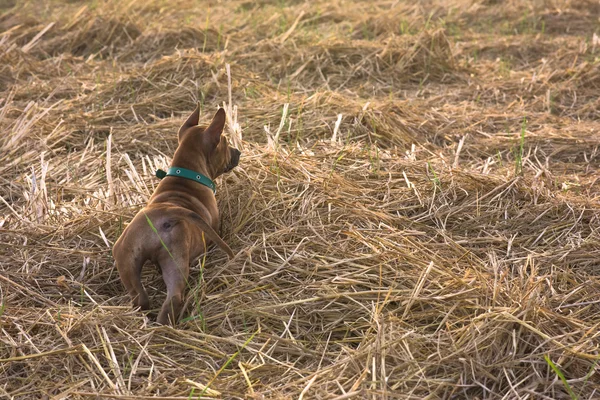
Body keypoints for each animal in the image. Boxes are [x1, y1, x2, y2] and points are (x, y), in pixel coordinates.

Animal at [113, 104, 240, 324]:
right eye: (225, 142)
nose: (238, 152)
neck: (186, 173)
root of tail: (165, 212)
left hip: (125, 258)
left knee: (140, 298)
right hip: (176, 260)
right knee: (174, 297)